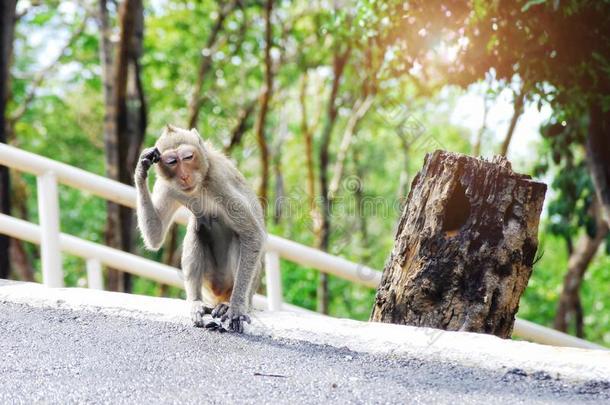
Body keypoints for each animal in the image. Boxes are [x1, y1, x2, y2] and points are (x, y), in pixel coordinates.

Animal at [134, 124, 264, 332]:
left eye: (188, 157)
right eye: (171, 161)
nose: (184, 176)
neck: (200, 184)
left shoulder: (219, 181)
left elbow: (252, 234)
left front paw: (235, 308)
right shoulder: (166, 185)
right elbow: (155, 236)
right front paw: (141, 167)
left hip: (245, 287)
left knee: (239, 237)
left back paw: (227, 304)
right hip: (209, 283)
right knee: (197, 228)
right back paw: (196, 302)